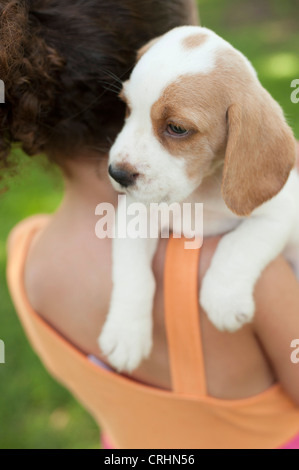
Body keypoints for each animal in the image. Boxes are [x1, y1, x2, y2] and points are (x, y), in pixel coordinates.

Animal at [99, 25, 299, 372]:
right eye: (127, 108)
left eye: (177, 128)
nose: (118, 173)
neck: (200, 191)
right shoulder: (135, 215)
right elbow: (133, 274)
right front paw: (125, 333)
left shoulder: (281, 213)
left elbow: (239, 243)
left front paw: (223, 298)